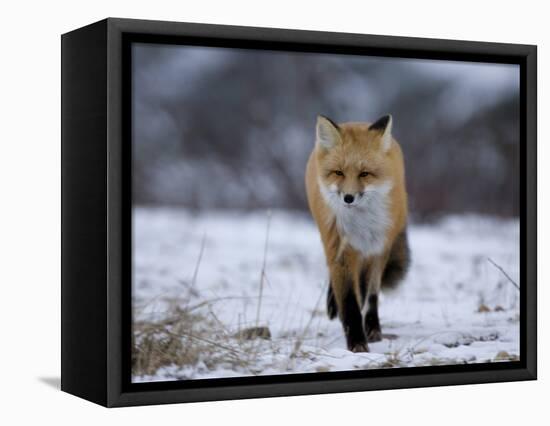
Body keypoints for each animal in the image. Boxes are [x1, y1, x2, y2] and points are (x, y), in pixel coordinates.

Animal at [306, 115, 410, 352]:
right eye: (339, 172)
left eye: (365, 174)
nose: (348, 198)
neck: (360, 224)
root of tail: (356, 121)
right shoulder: (339, 246)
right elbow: (349, 301)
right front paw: (356, 343)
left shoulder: (377, 247)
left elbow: (369, 295)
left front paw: (369, 333)